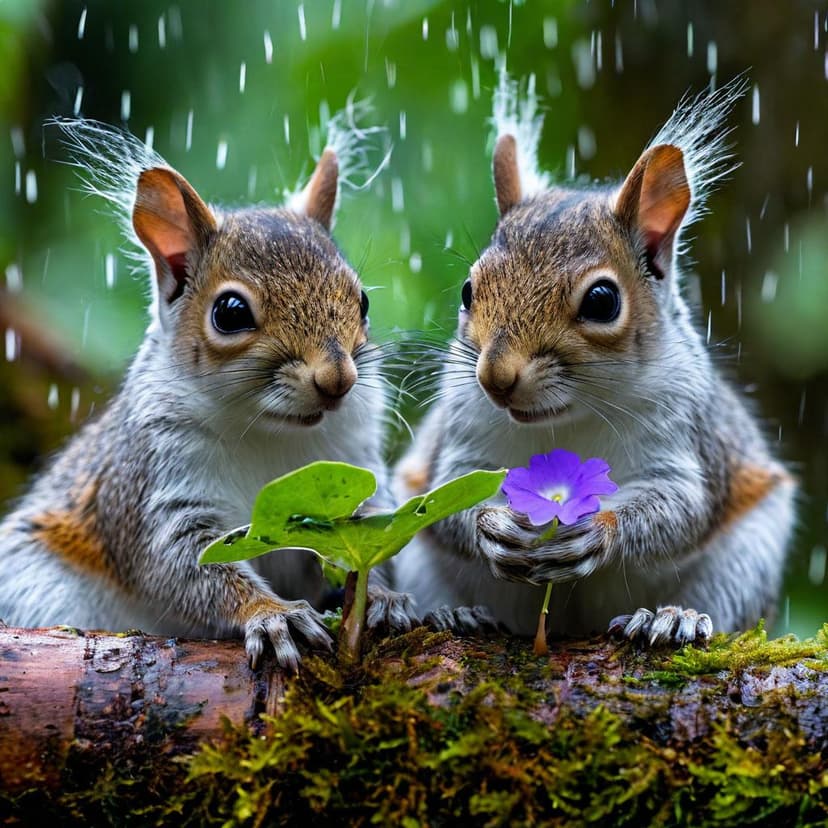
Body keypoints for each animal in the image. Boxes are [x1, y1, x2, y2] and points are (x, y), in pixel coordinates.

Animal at [0, 117, 416, 670]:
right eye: (230, 312)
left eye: (362, 300)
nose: (337, 381)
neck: (271, 433)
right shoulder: (157, 481)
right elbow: (181, 563)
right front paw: (274, 614)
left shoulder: (353, 461)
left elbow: (372, 535)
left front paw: (384, 599)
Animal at [394, 75, 797, 646]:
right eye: (470, 290)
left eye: (603, 301)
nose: (495, 378)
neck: (571, 416)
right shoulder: (462, 435)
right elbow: (445, 498)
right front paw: (490, 526)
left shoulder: (684, 436)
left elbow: (681, 508)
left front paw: (600, 533)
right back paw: (457, 614)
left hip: (749, 556)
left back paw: (674, 617)